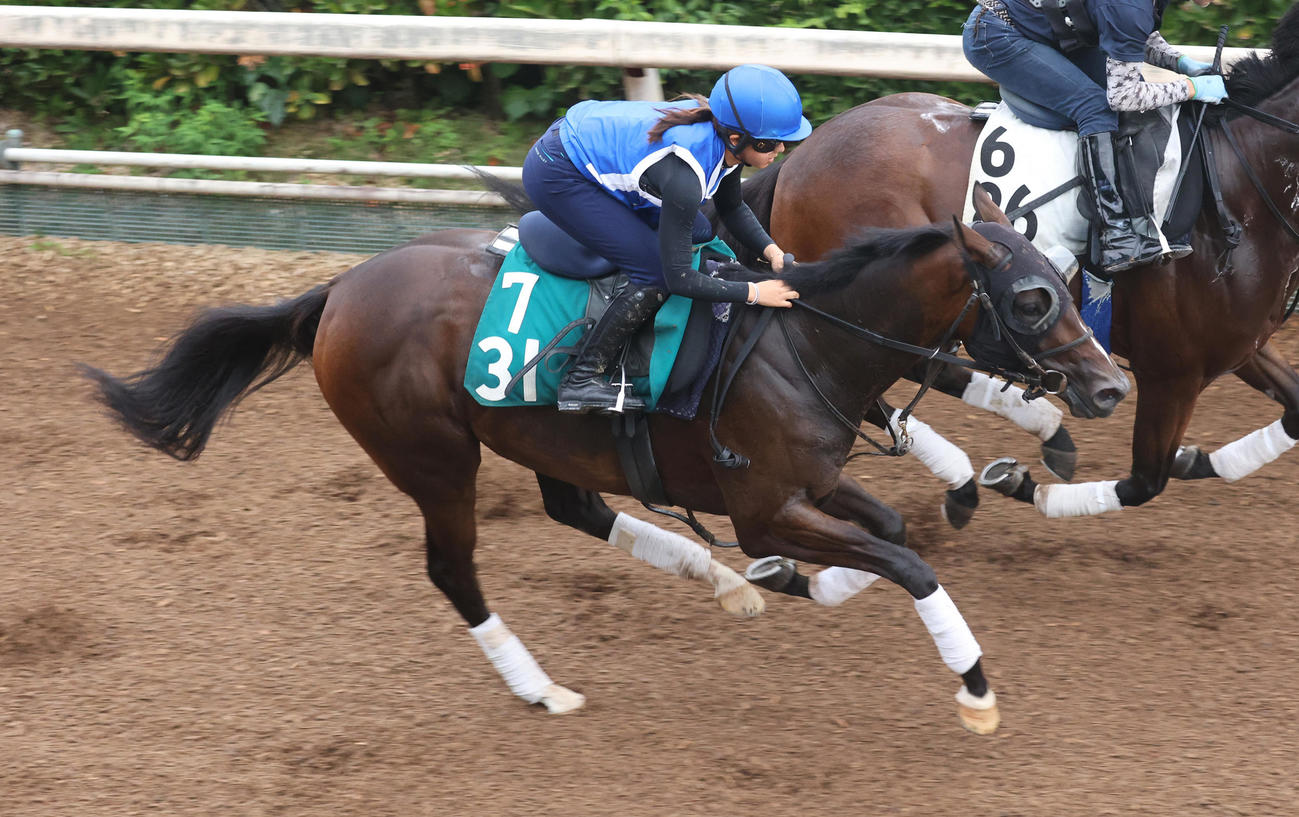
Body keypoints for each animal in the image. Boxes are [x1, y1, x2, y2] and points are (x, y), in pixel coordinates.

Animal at [734, 4, 1299, 524]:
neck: (1237, 192)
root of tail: (801, 155)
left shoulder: (1238, 348)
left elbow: (1291, 411)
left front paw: (1190, 458)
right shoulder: (1172, 372)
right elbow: (1143, 481)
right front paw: (1024, 484)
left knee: (926, 369)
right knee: (896, 378)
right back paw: (991, 463)